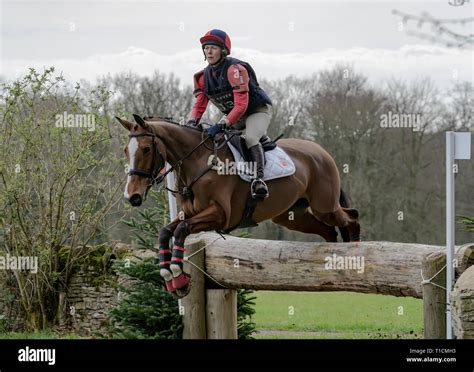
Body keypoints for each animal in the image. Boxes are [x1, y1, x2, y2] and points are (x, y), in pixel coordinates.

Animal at [116, 115, 362, 298]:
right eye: (126, 150)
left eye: (146, 149)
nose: (132, 197)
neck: (197, 161)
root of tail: (322, 152)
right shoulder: (190, 213)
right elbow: (165, 231)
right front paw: (171, 280)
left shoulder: (220, 214)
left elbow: (181, 230)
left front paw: (178, 275)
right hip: (291, 216)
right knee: (328, 231)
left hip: (324, 207)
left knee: (351, 217)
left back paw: (355, 255)